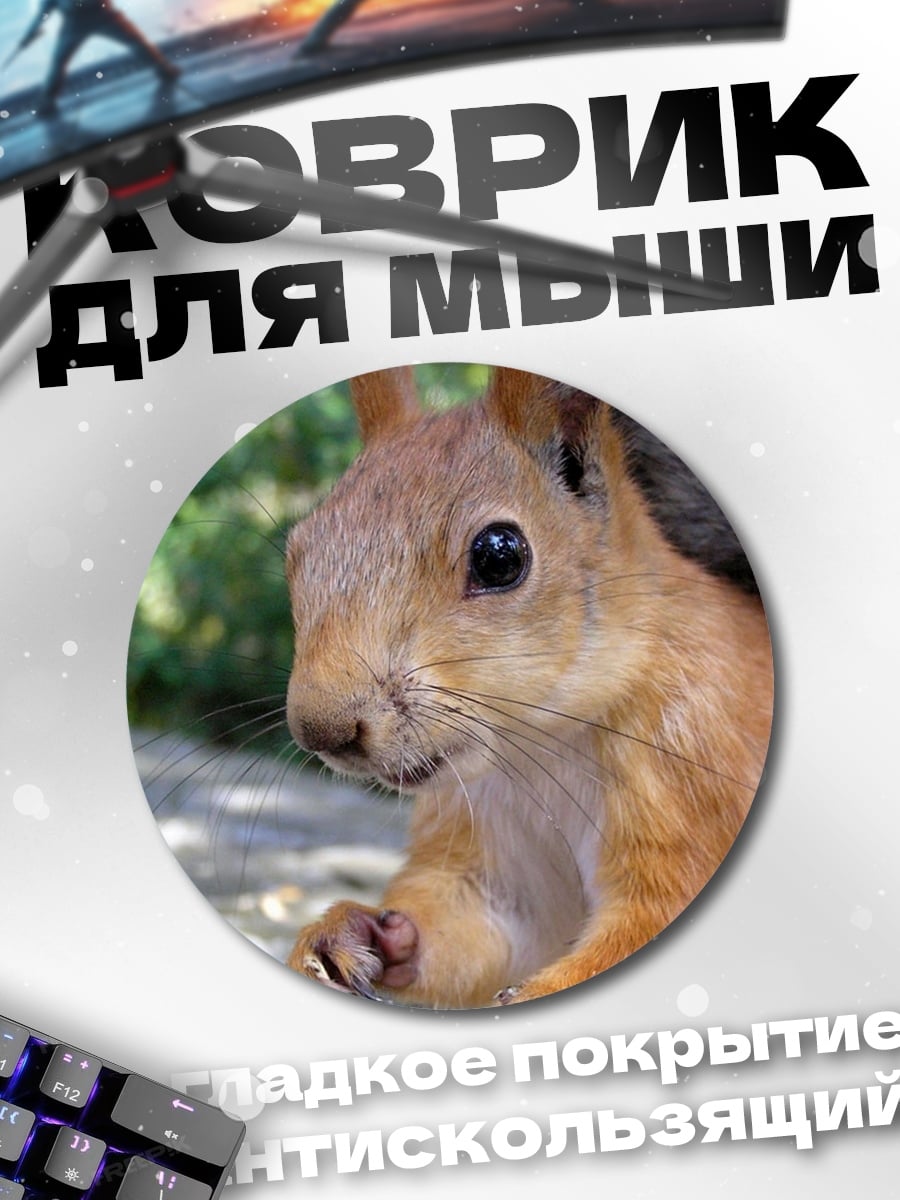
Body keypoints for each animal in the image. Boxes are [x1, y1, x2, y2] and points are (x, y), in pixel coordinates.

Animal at [284, 366, 774, 1007]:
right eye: (296, 552)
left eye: (499, 556)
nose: (322, 730)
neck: (541, 744)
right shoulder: (487, 846)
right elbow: (475, 925)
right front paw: (351, 934)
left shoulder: (693, 776)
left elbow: (653, 913)